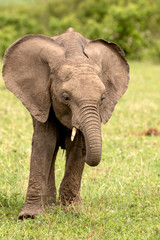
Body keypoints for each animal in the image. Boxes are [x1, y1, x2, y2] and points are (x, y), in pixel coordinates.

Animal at [2, 27, 129, 218]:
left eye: (103, 98)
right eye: (65, 97)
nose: (88, 151)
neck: (73, 54)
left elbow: (75, 146)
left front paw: (72, 211)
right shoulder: (43, 98)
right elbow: (44, 143)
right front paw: (29, 216)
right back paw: (49, 206)